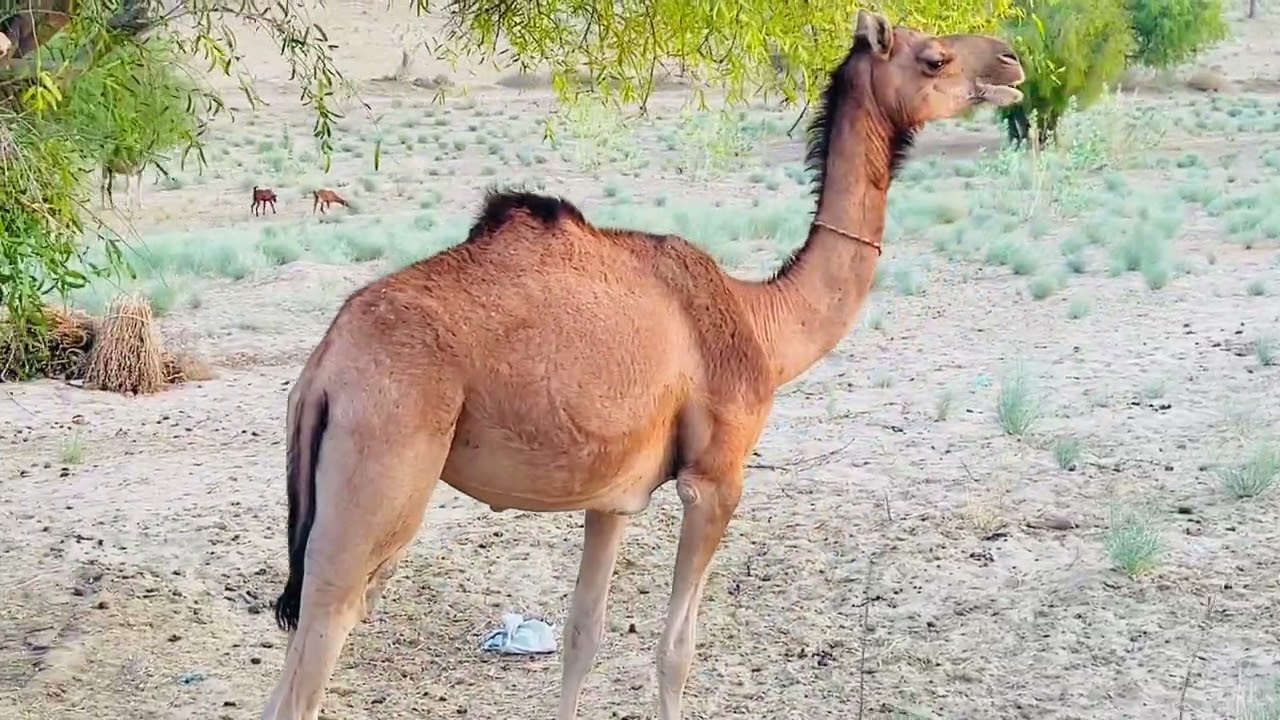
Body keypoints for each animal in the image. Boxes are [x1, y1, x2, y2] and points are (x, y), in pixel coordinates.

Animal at [261, 10, 1024, 720]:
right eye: (935, 56)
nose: (1012, 61)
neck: (763, 324)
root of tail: (323, 369)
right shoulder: (714, 479)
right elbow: (676, 650)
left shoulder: (611, 496)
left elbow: (582, 635)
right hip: (384, 466)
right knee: (320, 641)